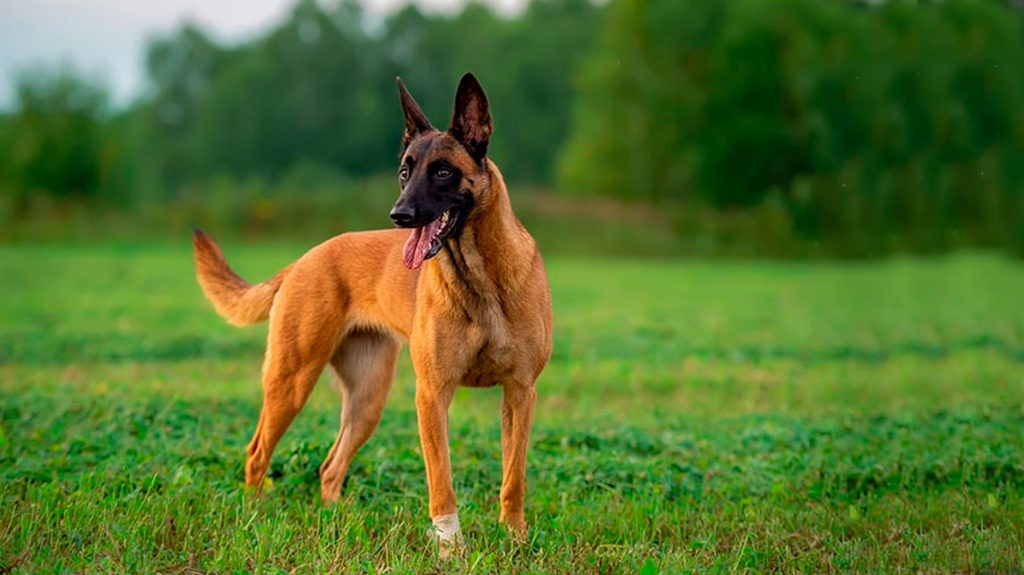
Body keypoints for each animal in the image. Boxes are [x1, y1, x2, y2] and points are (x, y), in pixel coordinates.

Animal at [194, 73, 557, 548]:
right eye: (404, 172)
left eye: (443, 171)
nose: (399, 214)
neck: (481, 279)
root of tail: (304, 259)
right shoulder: (433, 395)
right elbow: (441, 480)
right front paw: (450, 547)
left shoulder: (520, 393)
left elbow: (513, 477)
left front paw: (514, 538)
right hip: (292, 381)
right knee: (257, 453)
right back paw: (254, 514)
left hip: (367, 401)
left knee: (329, 467)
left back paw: (335, 516)